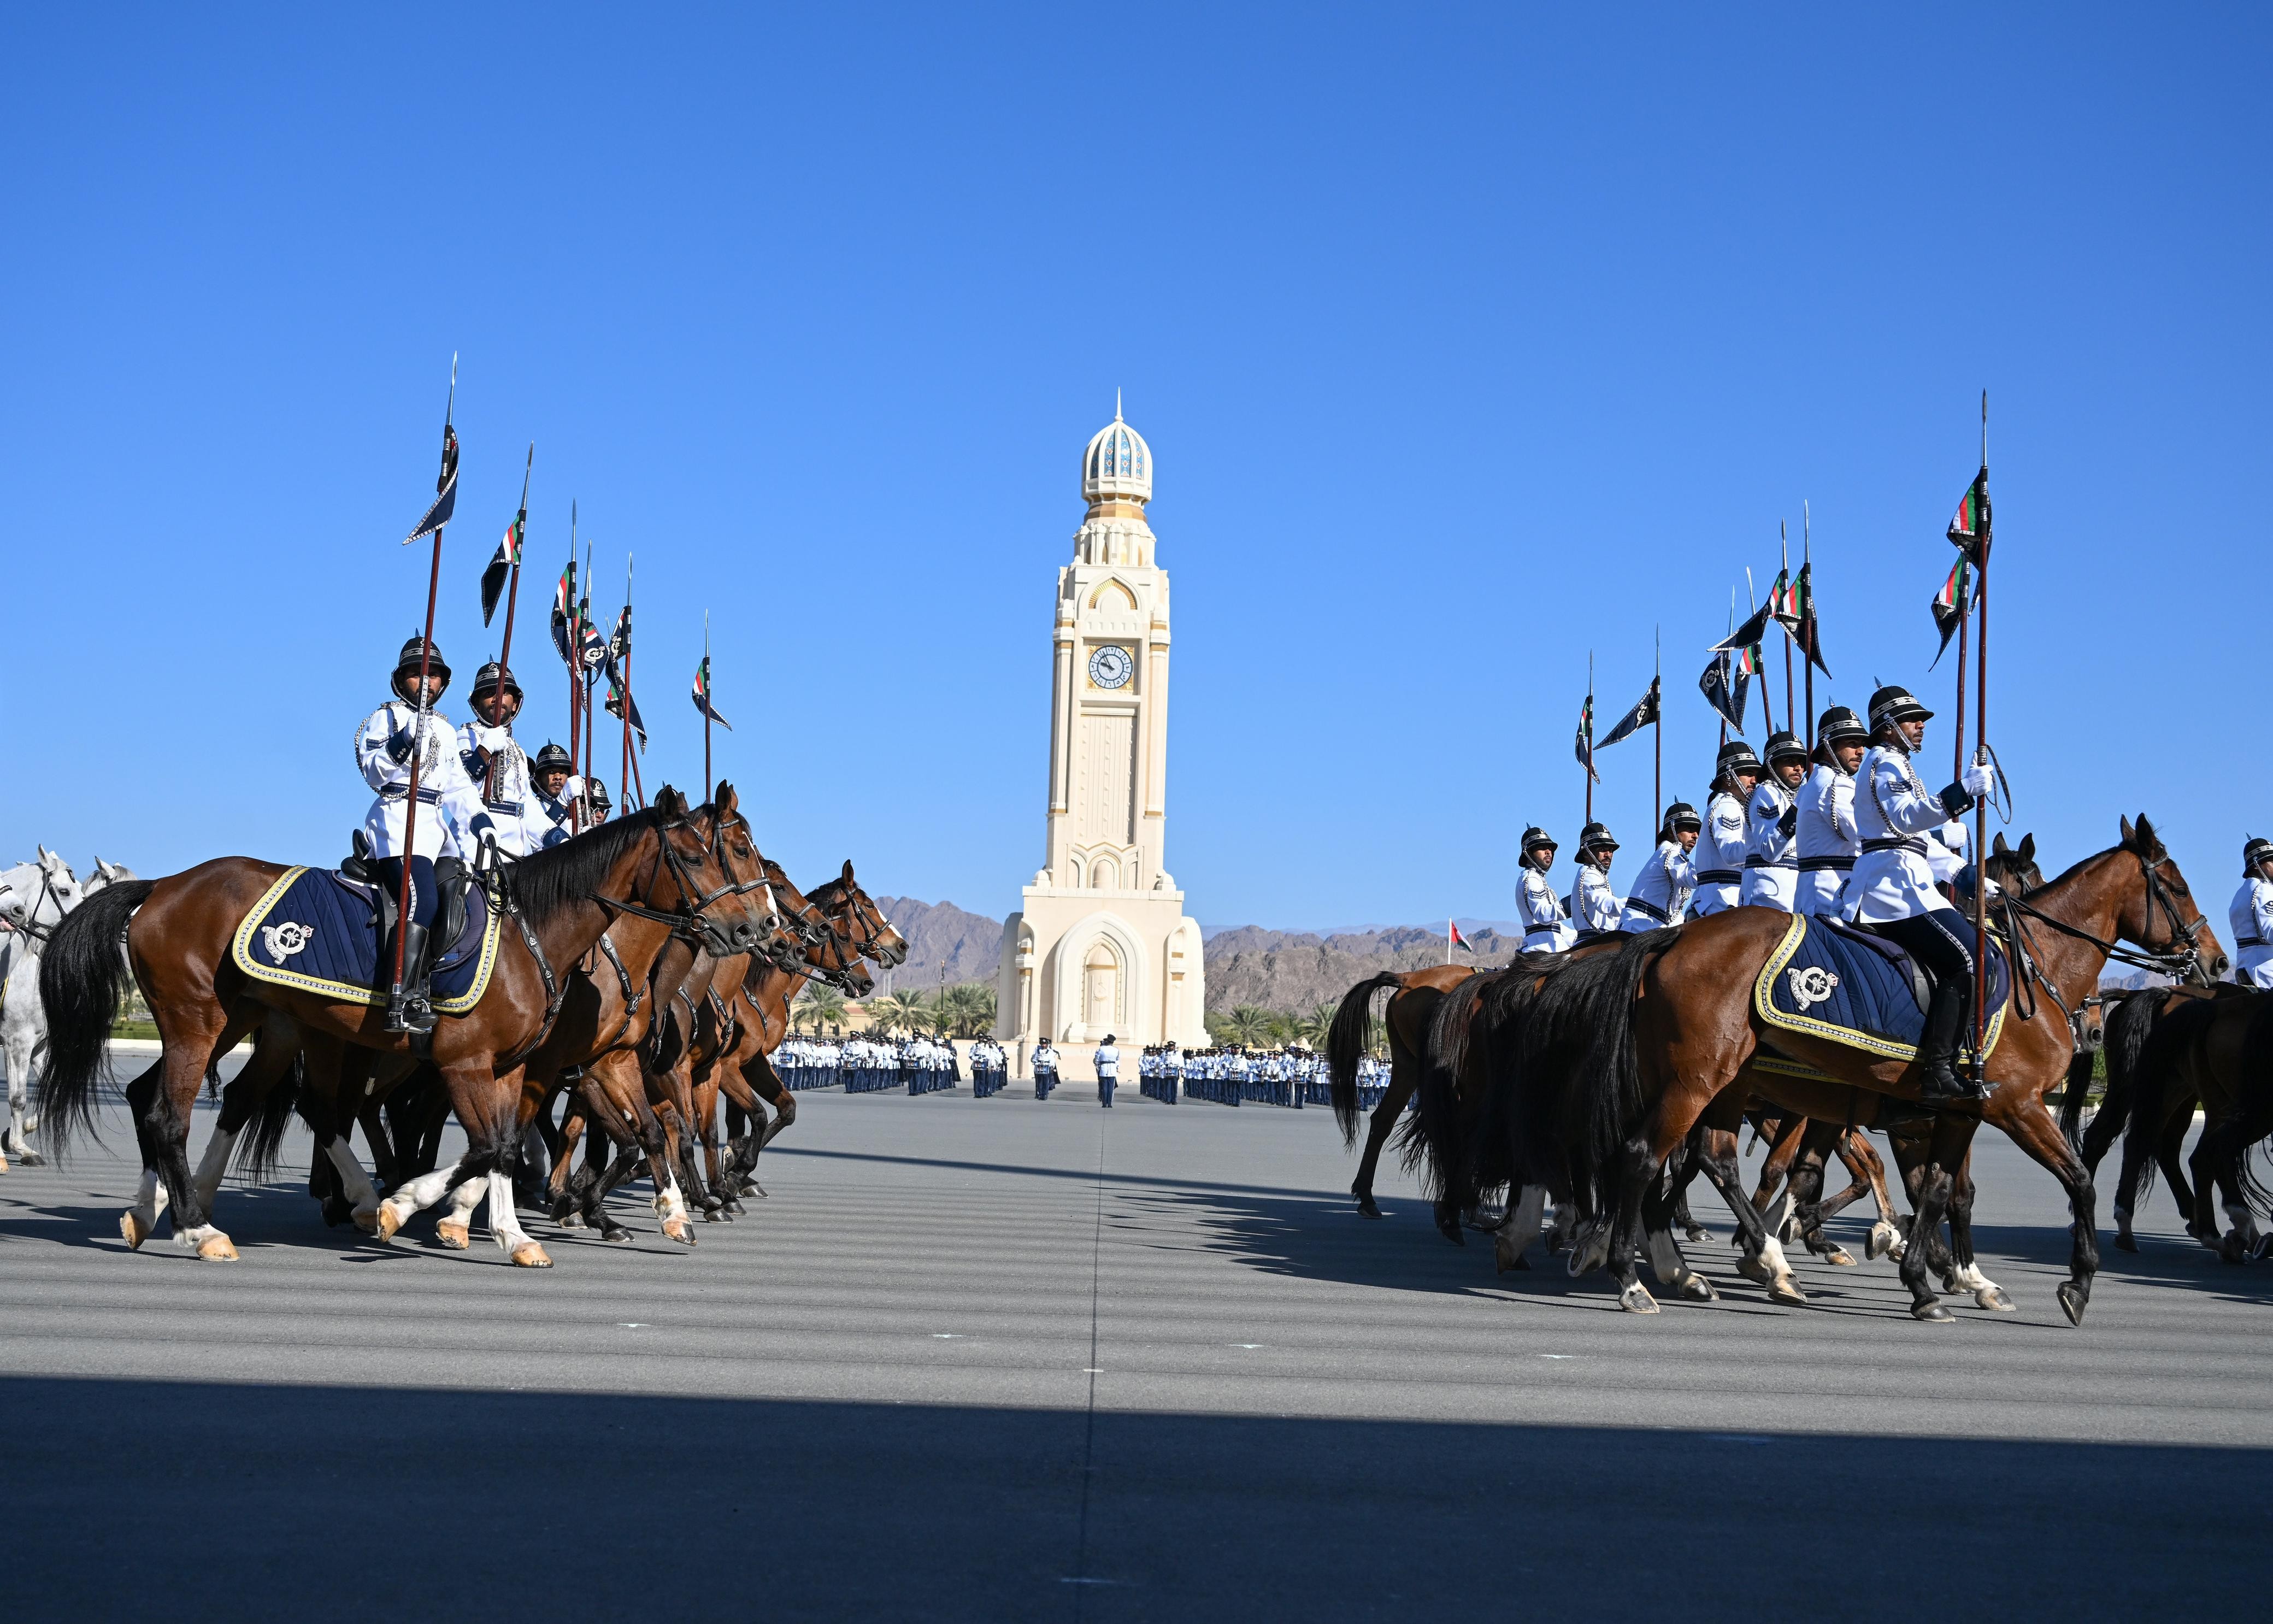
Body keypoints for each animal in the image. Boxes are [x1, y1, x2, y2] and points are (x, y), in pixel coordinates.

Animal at [0, 846, 134, 1164]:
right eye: (63, 891)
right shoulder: (16, 1043)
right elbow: (17, 1097)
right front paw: (19, 1146)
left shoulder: (40, 1046)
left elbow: (52, 1092)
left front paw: (17, 1133)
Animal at [40, 791, 768, 1255]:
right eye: (707, 854)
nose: (752, 927)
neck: (536, 934)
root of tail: (162, 885)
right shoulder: (473, 1063)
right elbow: (494, 1145)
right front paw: (417, 1206)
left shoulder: (519, 1065)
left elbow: (514, 1143)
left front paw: (510, 1231)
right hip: (204, 1022)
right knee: (176, 1114)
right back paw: (203, 1226)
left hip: (247, 1022)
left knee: (210, 1101)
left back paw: (154, 1209)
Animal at [1545, 814, 2218, 1319]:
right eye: (2178, 884)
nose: (2211, 960)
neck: (2028, 967)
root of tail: (1672, 939)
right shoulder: (2014, 1106)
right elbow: (2075, 1180)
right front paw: (2073, 1284)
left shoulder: (1952, 1112)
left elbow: (1941, 1190)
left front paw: (1931, 1278)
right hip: (1696, 1083)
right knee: (1643, 1156)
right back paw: (1639, 1275)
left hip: (1720, 1087)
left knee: (1705, 1159)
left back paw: (1703, 1262)